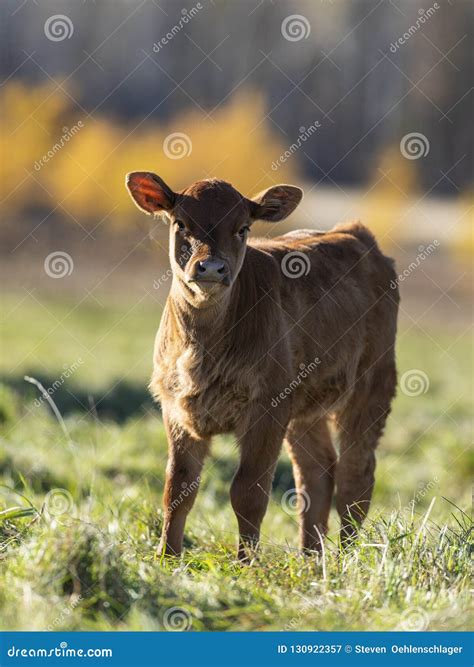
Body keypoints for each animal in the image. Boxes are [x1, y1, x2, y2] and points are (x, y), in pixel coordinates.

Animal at [127, 172, 400, 560]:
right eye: (181, 223)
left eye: (243, 228)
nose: (211, 268)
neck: (202, 346)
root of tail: (354, 232)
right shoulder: (175, 407)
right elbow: (177, 488)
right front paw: (166, 558)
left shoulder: (267, 408)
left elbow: (248, 493)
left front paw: (246, 563)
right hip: (304, 406)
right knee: (317, 473)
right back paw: (311, 560)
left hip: (372, 385)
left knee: (355, 476)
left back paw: (348, 558)